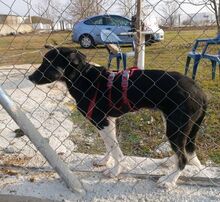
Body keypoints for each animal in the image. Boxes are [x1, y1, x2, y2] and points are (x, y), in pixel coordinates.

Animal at [28, 46, 207, 189]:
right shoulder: (108, 121)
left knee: (183, 157)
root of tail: (200, 91)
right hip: (173, 124)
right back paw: (170, 162)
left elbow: (115, 150)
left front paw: (115, 171)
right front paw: (104, 161)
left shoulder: (102, 121)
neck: (82, 77)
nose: (29, 78)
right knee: (182, 151)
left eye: (48, 63)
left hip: (175, 127)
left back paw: (169, 181)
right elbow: (109, 146)